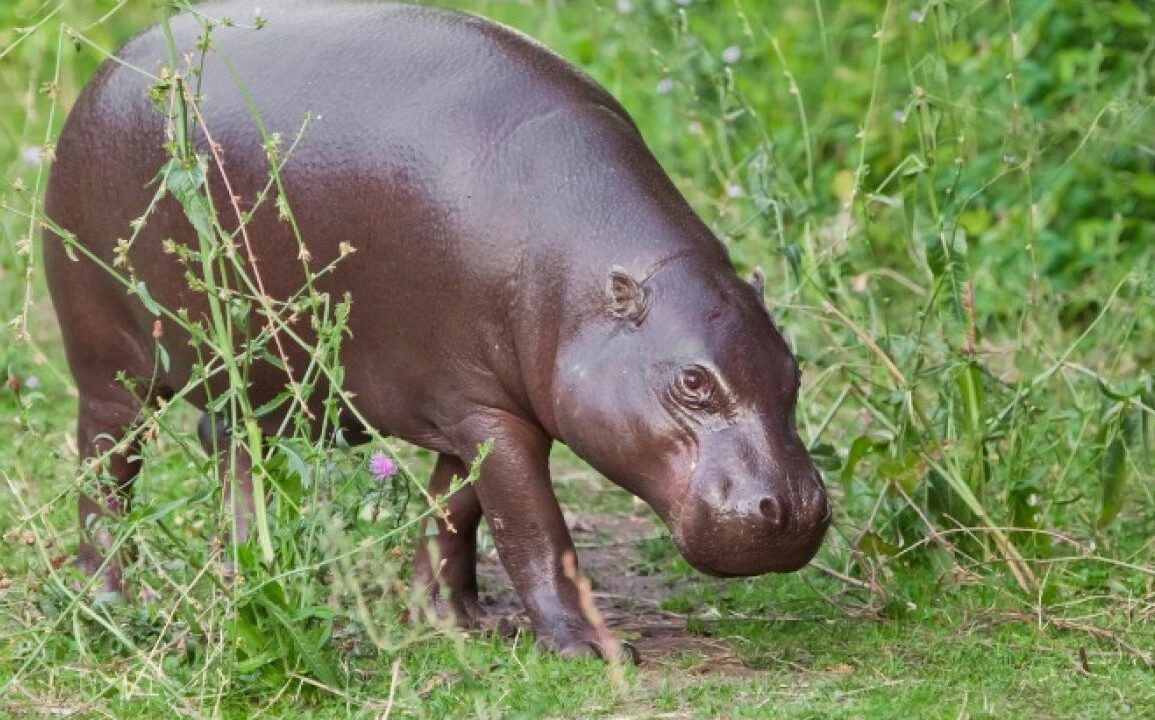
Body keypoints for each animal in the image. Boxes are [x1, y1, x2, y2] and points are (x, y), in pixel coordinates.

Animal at [43, 0, 830, 659]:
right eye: (692, 382)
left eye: (794, 372)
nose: (792, 509)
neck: (583, 278)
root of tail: (110, 68)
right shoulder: (489, 413)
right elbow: (535, 529)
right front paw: (592, 651)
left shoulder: (479, 405)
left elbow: (455, 514)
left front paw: (446, 621)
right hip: (108, 365)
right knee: (106, 474)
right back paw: (111, 606)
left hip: (256, 379)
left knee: (234, 453)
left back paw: (254, 573)